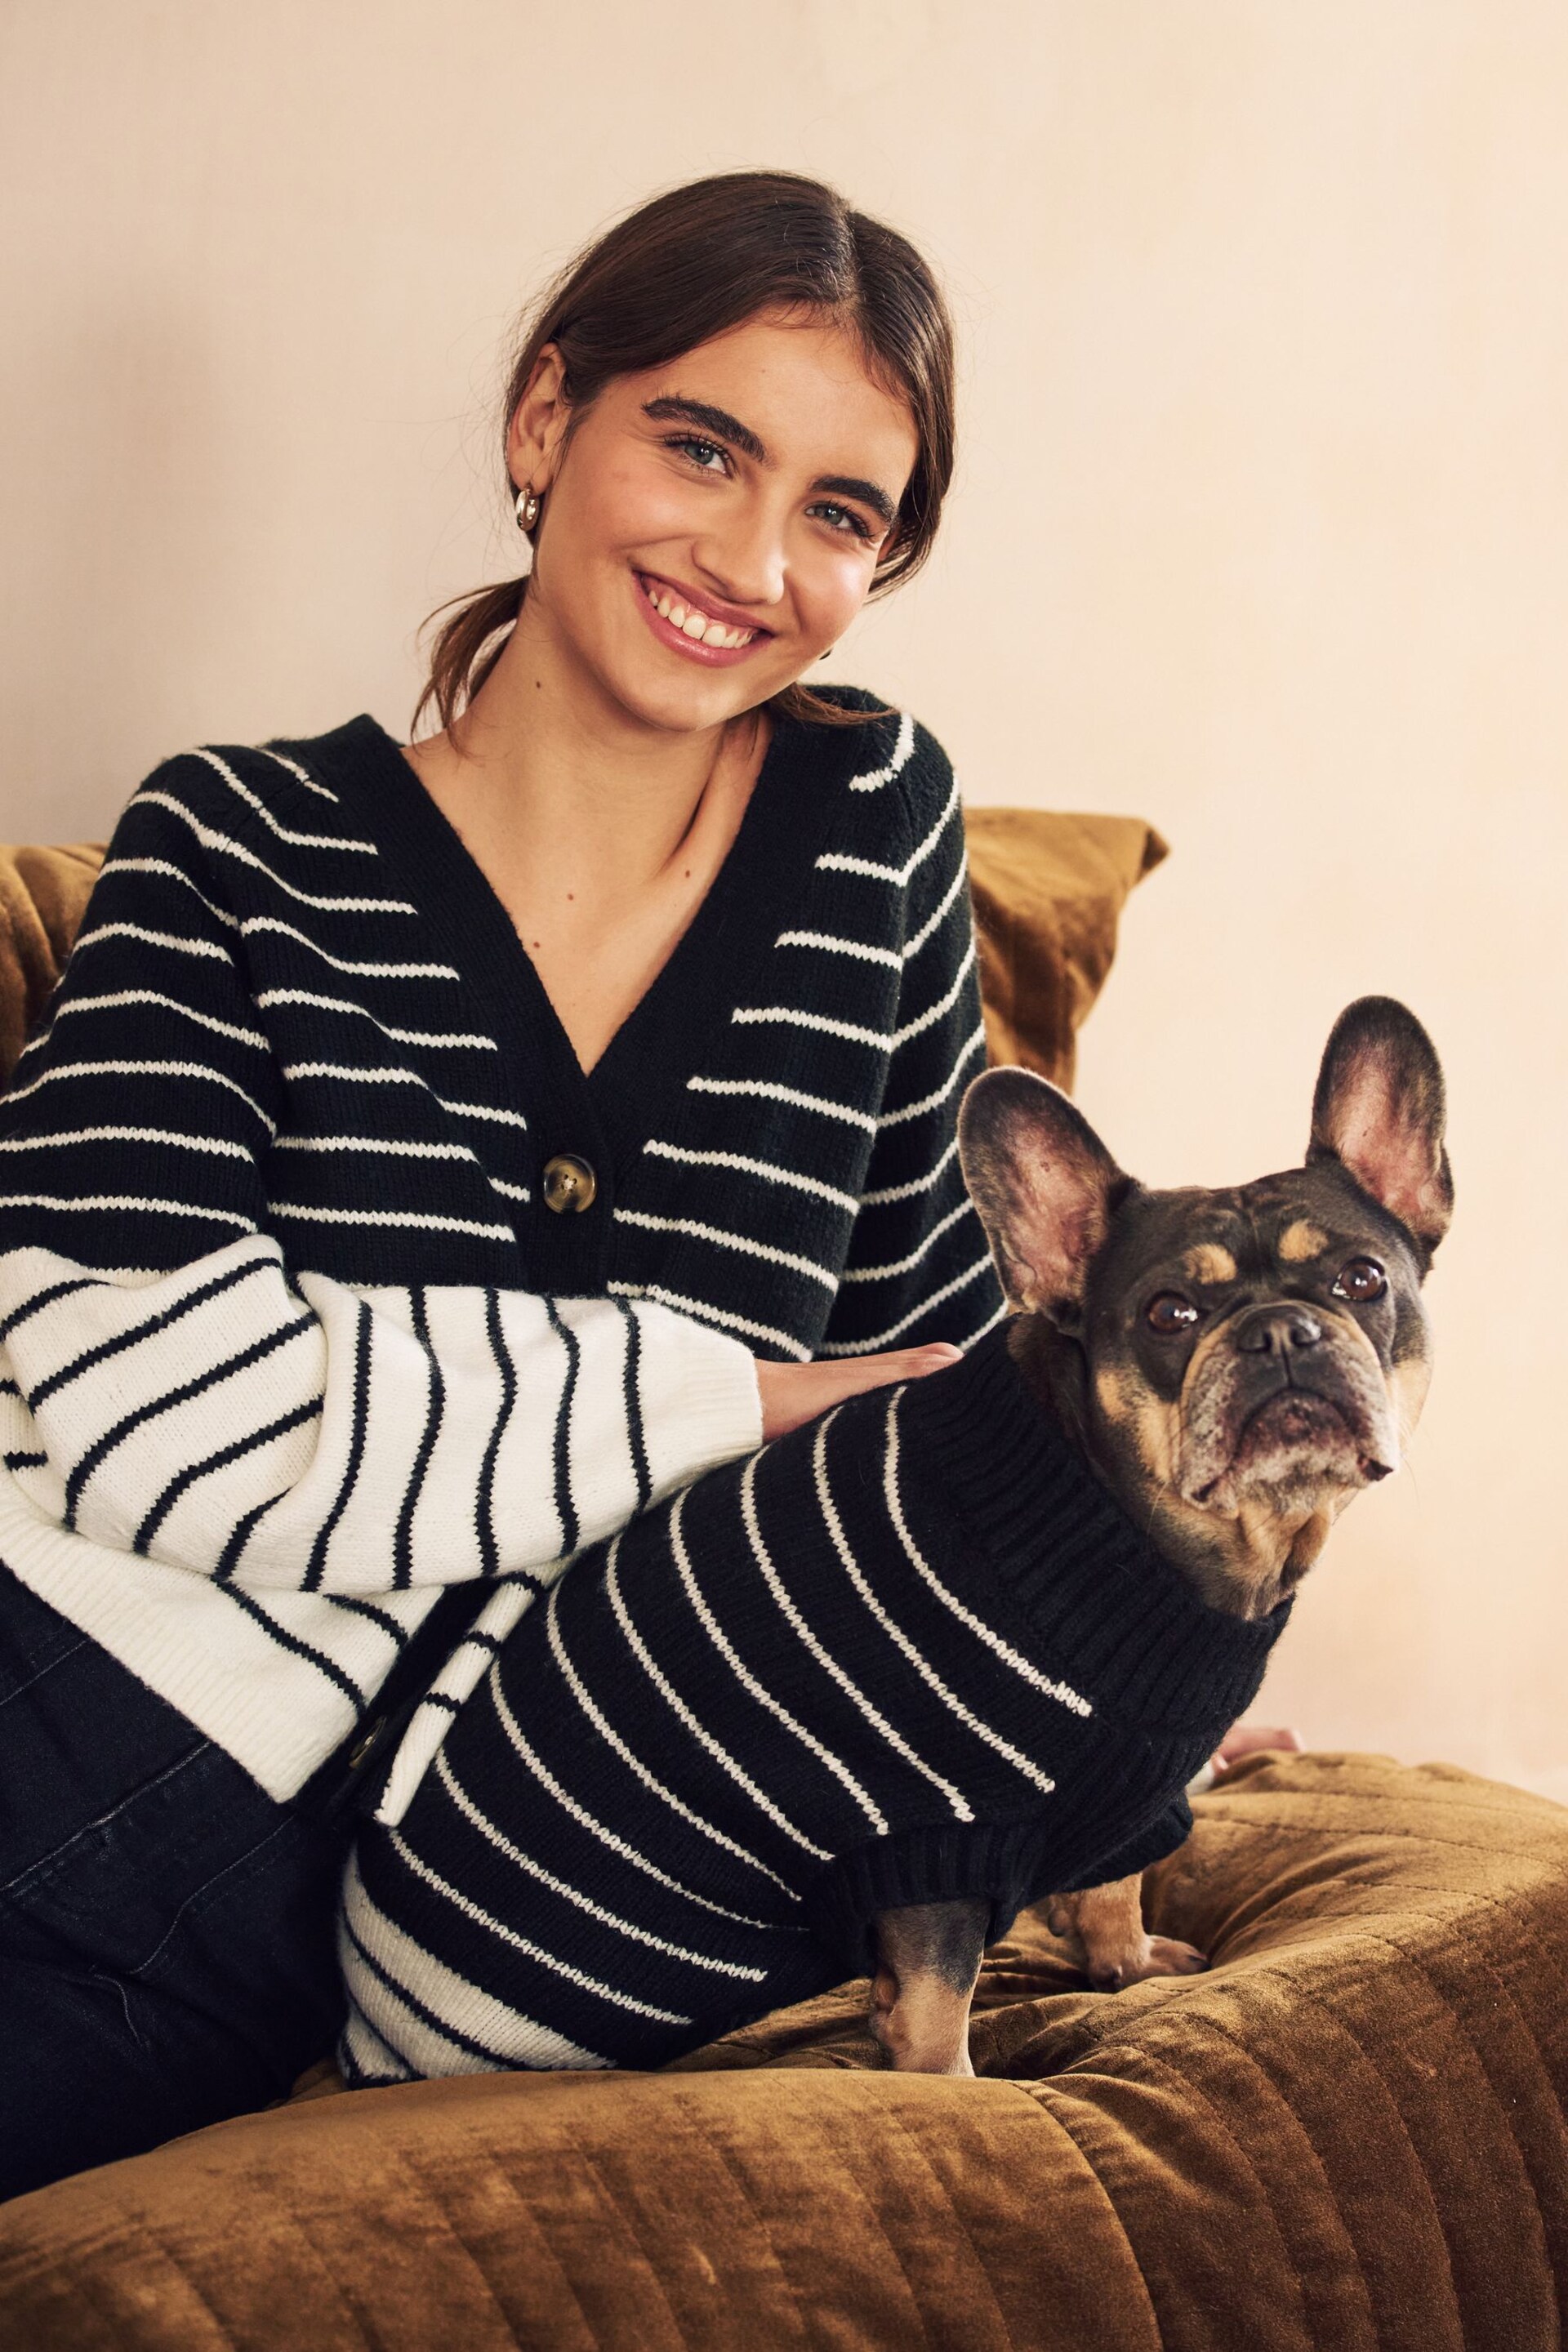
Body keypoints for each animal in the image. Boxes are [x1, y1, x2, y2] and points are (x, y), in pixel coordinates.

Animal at [865, 997, 1457, 2078]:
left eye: (1362, 1279)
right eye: (1169, 1313)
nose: (1280, 1331)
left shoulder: (1133, 1797)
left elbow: (1115, 1881)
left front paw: (1127, 1963)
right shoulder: (934, 1836)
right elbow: (936, 2004)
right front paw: (946, 2089)